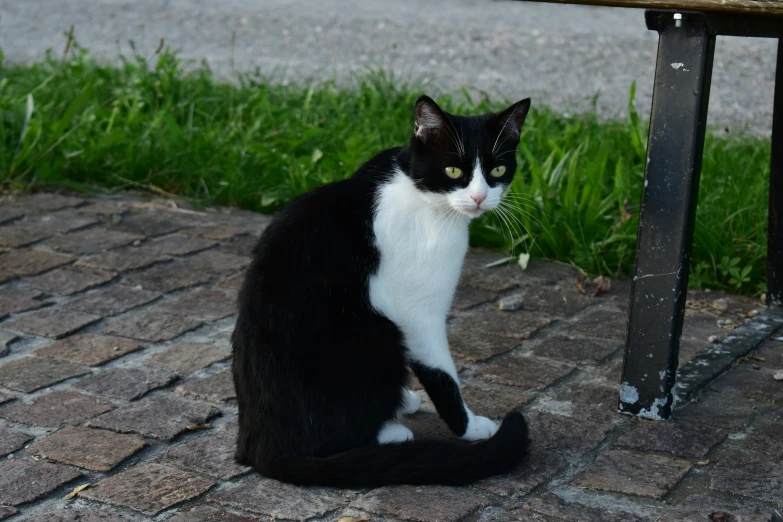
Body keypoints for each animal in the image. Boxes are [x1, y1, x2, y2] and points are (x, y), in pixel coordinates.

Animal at [234, 92, 532, 484]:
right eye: (454, 171)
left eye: (497, 171)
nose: (481, 198)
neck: (421, 194)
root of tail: (259, 444)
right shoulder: (419, 314)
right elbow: (441, 373)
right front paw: (469, 427)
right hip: (379, 332)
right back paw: (392, 432)